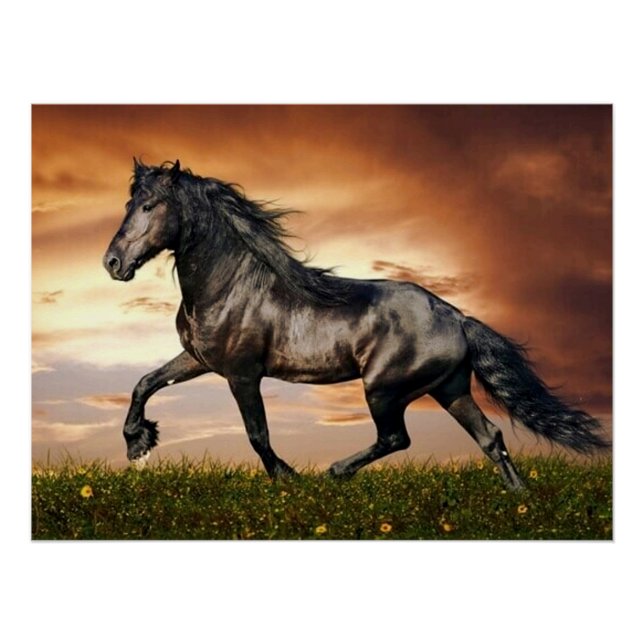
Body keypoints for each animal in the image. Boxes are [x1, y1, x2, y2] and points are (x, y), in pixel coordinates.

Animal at [103, 159, 608, 489]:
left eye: (149, 205)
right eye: (129, 203)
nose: (113, 263)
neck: (230, 285)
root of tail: (457, 318)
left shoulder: (242, 374)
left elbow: (257, 434)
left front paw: (288, 479)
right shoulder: (199, 359)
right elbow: (145, 383)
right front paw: (138, 444)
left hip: (384, 389)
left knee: (396, 438)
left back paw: (334, 472)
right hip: (450, 389)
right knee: (490, 437)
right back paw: (519, 500)